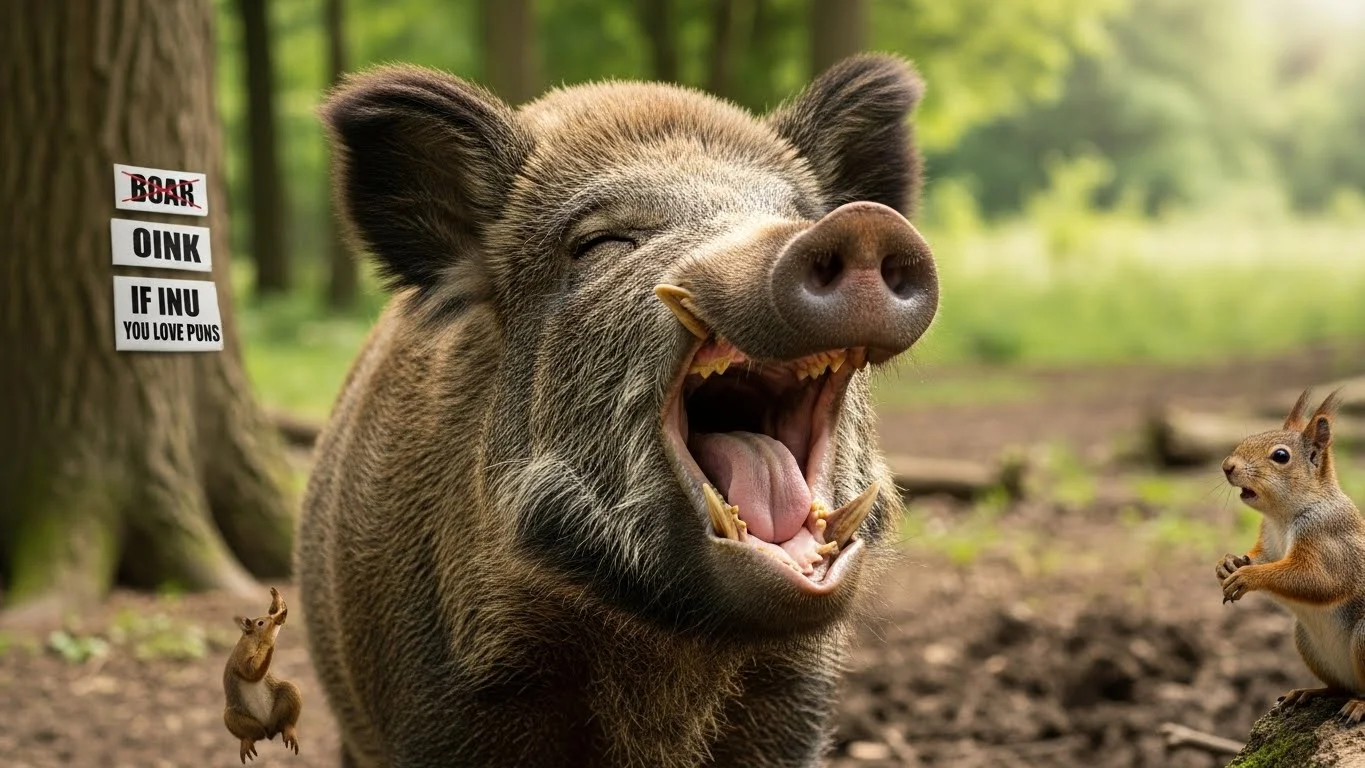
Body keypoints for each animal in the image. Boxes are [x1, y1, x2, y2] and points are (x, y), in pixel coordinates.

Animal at [297, 53, 939, 768]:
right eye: (602, 242)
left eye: (793, 211)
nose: (858, 224)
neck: (667, 663)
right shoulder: (440, 706)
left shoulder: (791, 702)